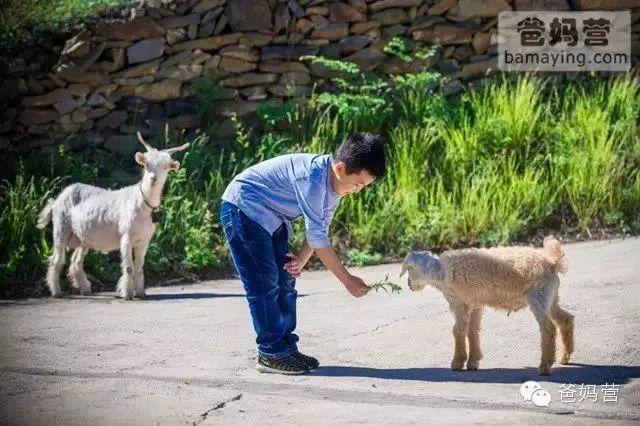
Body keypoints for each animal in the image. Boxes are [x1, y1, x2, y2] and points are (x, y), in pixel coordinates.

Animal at [37, 133, 188, 300]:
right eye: (146, 164)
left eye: (166, 166)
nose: (153, 179)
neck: (141, 202)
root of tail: (58, 198)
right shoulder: (126, 236)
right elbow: (129, 267)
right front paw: (127, 293)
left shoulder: (144, 240)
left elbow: (139, 267)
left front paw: (141, 293)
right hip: (61, 227)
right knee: (56, 259)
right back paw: (56, 292)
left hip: (83, 237)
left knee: (76, 261)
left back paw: (85, 289)